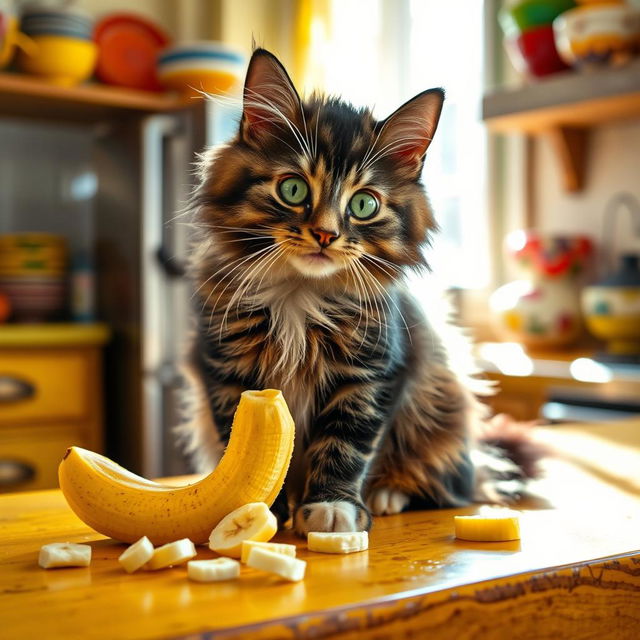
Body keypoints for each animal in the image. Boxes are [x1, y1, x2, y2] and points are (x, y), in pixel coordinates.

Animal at [179, 48, 524, 536]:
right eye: (293, 189)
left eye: (363, 204)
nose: (325, 234)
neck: (299, 293)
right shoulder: (227, 368)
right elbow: (245, 443)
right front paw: (258, 508)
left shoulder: (371, 372)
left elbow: (346, 443)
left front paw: (332, 507)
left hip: (440, 405)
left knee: (447, 484)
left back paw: (387, 494)